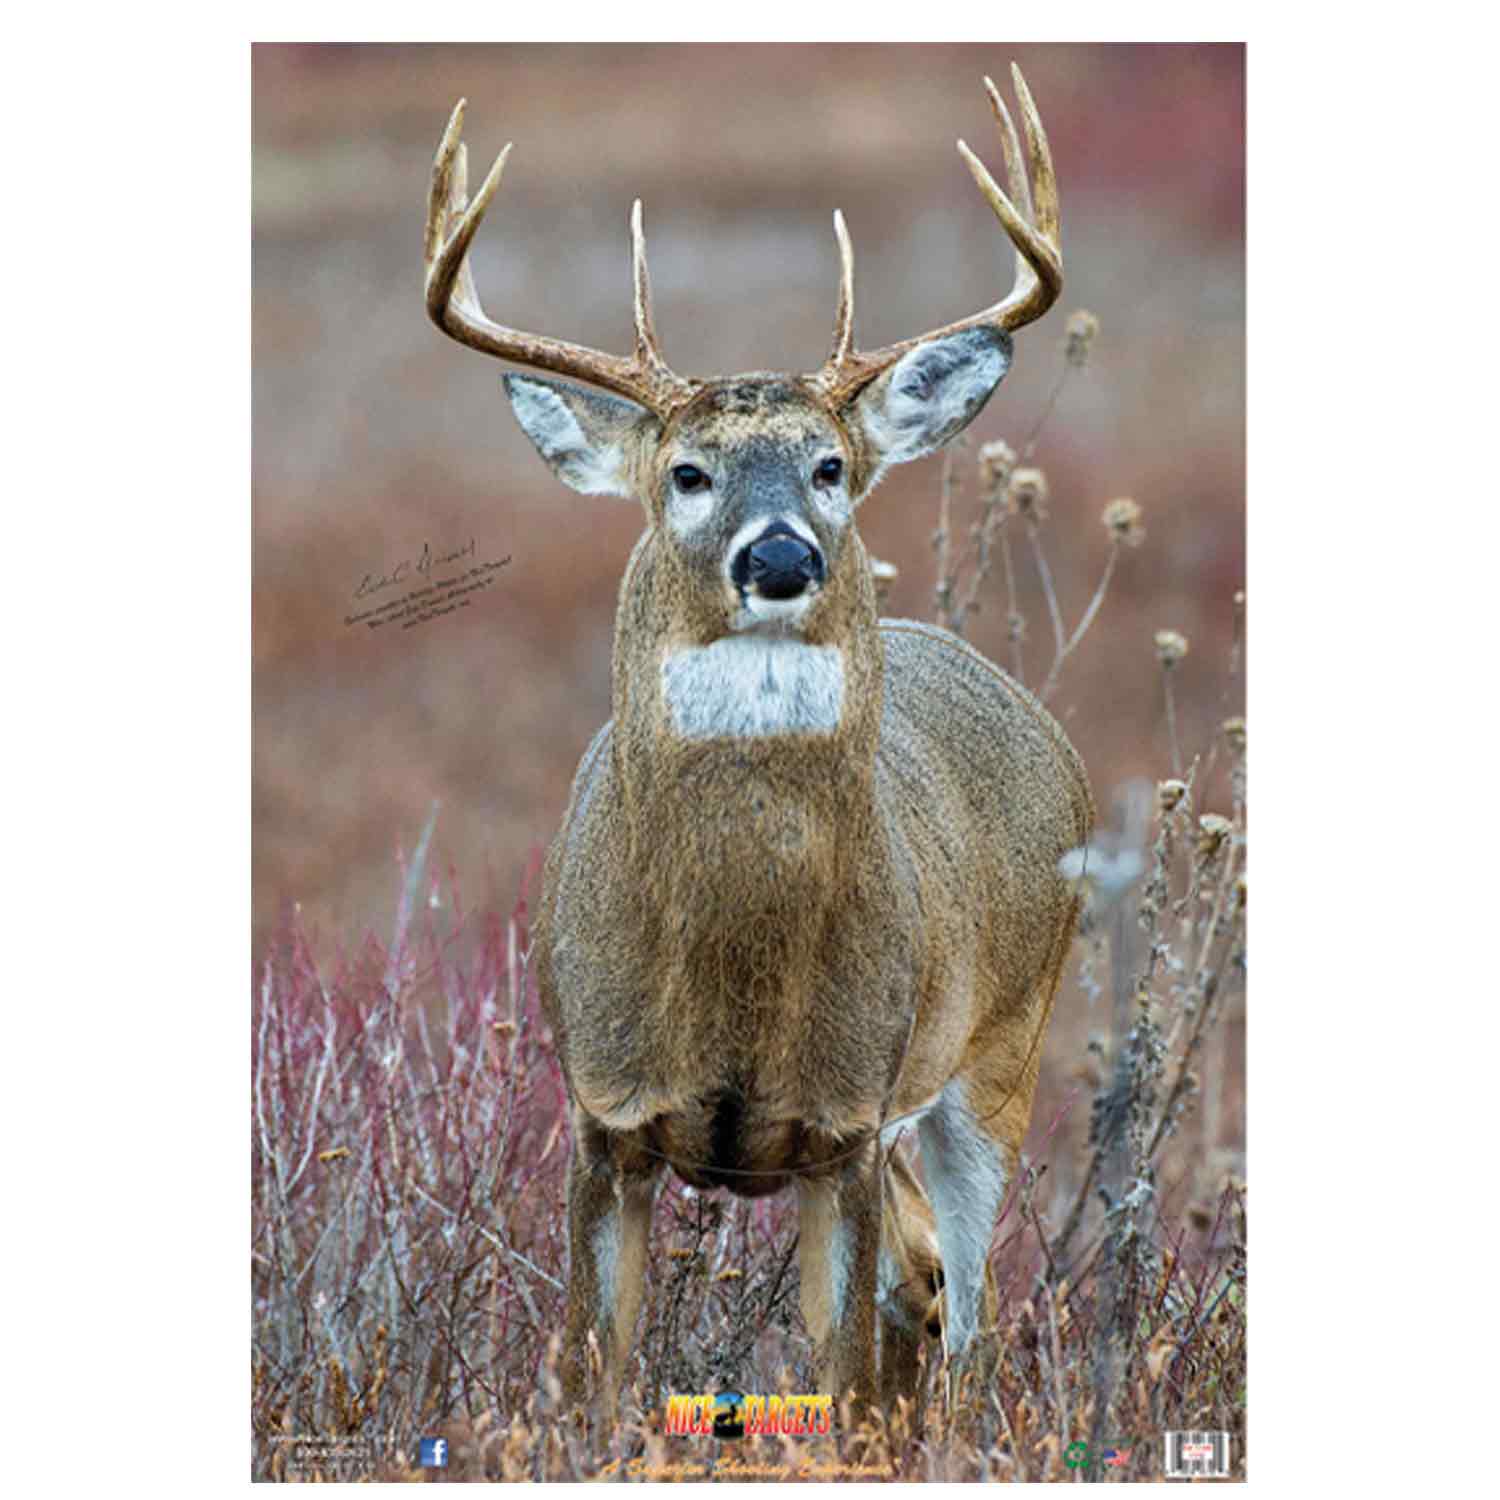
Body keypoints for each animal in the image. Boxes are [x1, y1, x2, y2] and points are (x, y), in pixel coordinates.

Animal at [422, 65, 1093, 1421]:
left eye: (832, 465)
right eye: (687, 473)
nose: (779, 555)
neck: (731, 975)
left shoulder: (846, 1122)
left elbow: (842, 1383)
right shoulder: (602, 1115)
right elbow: (596, 1373)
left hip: (998, 1055)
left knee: (965, 1312)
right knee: (923, 1286)